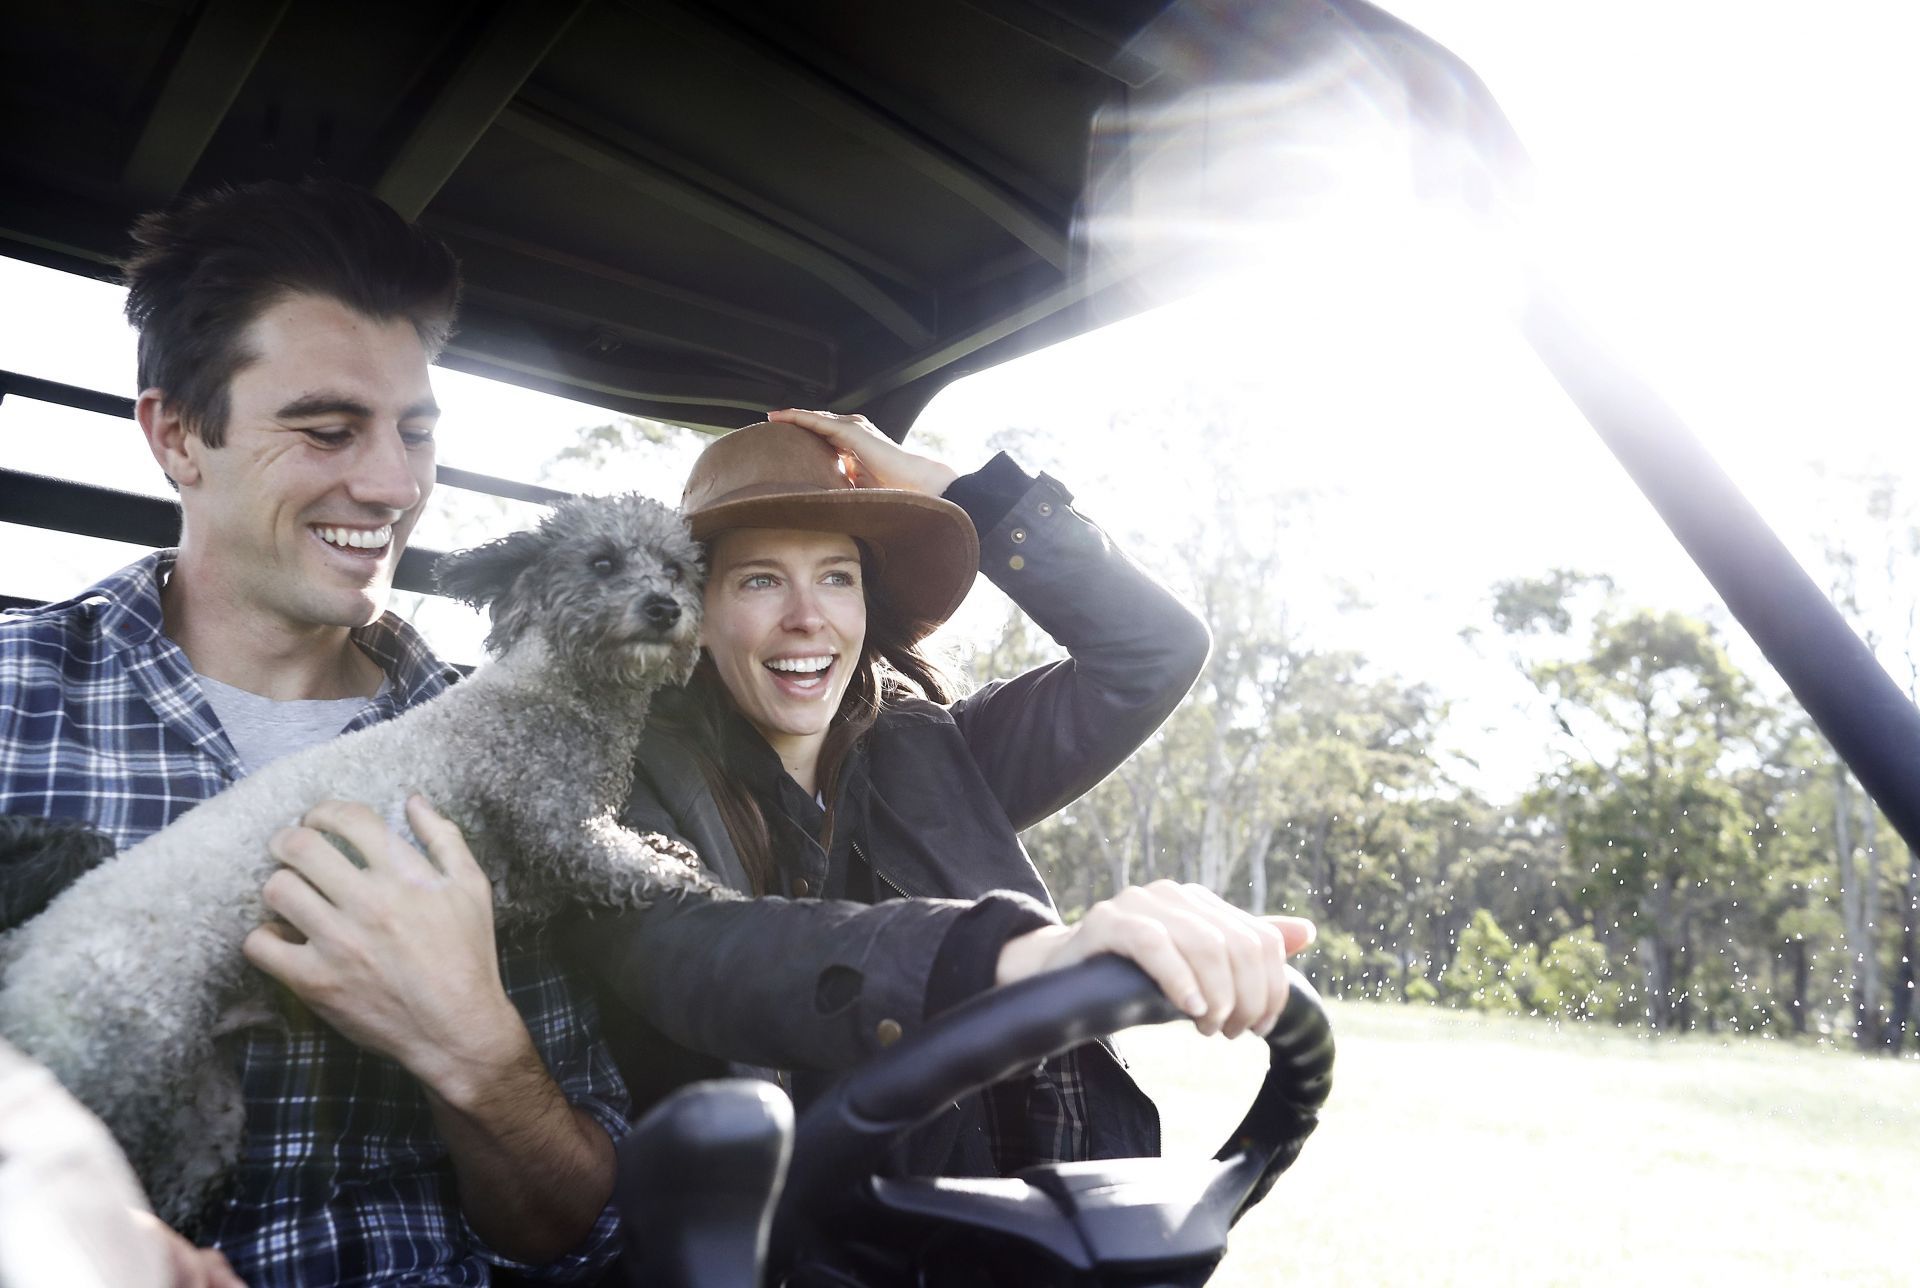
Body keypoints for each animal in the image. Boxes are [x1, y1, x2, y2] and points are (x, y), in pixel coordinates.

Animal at [0, 495, 729, 1228]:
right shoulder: (552, 822)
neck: (549, 694)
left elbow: (642, 851)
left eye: (675, 569)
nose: (664, 606)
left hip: (203, 1098)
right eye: (602, 563)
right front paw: (709, 886)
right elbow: (638, 870)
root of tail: (29, 940)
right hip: (116, 1059)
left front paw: (673, 847)